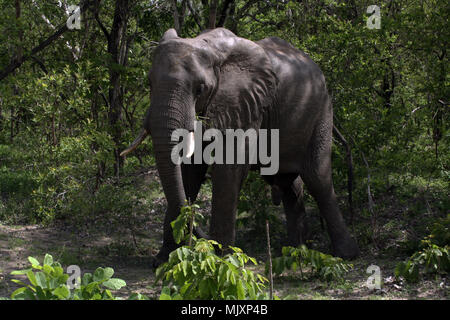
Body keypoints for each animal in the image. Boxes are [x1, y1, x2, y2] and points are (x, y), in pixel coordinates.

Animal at [121, 28, 360, 262]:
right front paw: (165, 260)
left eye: (200, 89)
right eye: (150, 83)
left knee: (318, 178)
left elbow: (228, 168)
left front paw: (220, 259)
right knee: (289, 183)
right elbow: (189, 171)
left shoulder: (243, 104)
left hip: (321, 111)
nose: (201, 238)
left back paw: (345, 255)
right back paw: (296, 252)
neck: (206, 45)